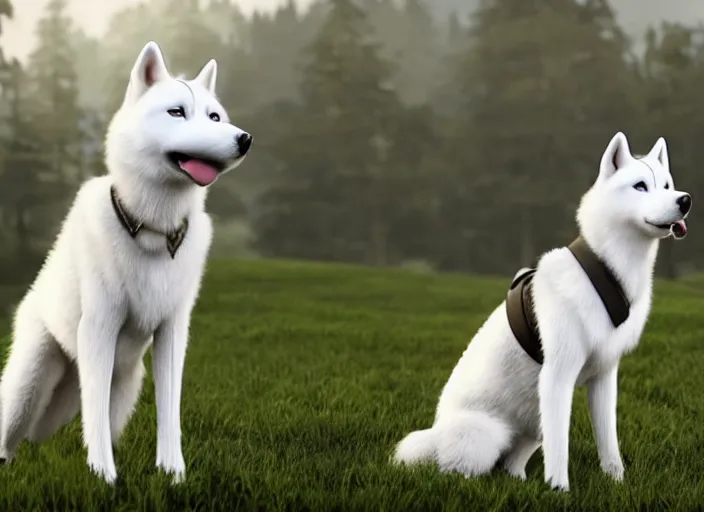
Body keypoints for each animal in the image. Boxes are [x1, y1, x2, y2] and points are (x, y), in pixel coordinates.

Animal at [0, 41, 252, 484]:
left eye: (215, 116)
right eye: (177, 112)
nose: (245, 138)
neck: (152, 229)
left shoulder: (173, 332)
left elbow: (169, 412)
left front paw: (173, 474)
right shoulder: (100, 327)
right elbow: (95, 422)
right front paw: (104, 478)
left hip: (125, 386)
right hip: (26, 389)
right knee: (13, 438)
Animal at [394, 133, 692, 492]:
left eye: (667, 185)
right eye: (640, 186)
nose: (686, 200)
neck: (607, 273)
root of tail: (435, 434)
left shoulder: (604, 377)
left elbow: (609, 442)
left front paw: (617, 484)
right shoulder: (558, 377)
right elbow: (560, 447)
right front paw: (559, 491)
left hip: (532, 422)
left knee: (511, 464)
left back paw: (518, 480)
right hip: (485, 436)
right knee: (459, 470)